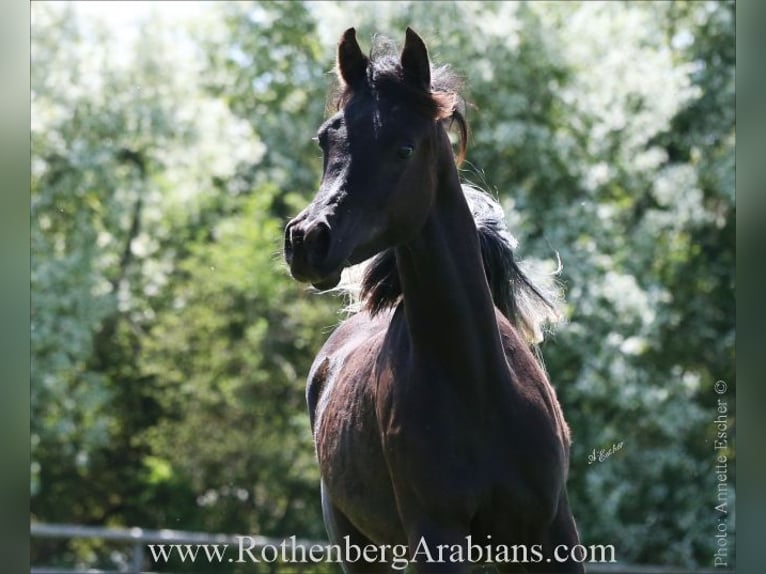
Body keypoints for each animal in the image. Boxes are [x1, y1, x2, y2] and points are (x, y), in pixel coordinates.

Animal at [283, 27, 583, 573]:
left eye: (404, 148)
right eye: (326, 138)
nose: (307, 240)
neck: (476, 386)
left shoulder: (552, 530)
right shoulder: (436, 535)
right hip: (357, 543)